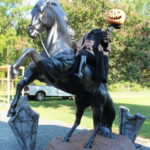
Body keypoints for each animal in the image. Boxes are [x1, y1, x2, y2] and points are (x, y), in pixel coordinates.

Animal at [7, 0, 116, 148]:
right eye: (31, 12)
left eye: (41, 11)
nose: (31, 31)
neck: (58, 46)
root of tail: (105, 89)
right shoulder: (39, 73)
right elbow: (21, 82)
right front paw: (11, 109)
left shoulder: (54, 70)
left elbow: (31, 50)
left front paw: (14, 70)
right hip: (80, 101)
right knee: (78, 120)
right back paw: (66, 138)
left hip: (97, 104)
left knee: (97, 125)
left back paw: (88, 144)